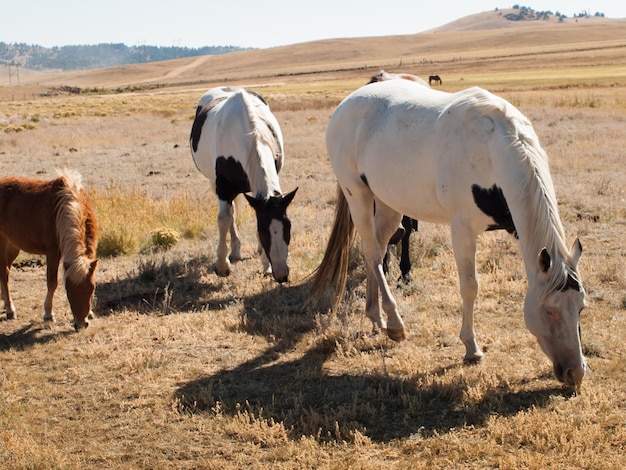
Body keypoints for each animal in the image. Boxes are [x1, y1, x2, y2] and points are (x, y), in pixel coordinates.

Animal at [0, 170, 98, 330]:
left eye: (91, 289)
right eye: (68, 292)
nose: (81, 324)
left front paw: (90, 313)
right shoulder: (52, 252)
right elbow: (52, 282)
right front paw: (48, 314)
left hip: (13, 246)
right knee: (4, 273)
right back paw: (10, 309)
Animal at [189, 86, 296, 282]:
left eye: (288, 228)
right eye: (263, 231)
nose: (282, 275)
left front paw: (266, 265)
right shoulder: (223, 188)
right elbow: (224, 219)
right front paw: (222, 266)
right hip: (215, 183)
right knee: (229, 214)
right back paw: (235, 252)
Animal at [310, 79, 588, 386]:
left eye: (580, 308)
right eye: (549, 310)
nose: (576, 372)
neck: (494, 148)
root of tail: (347, 103)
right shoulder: (463, 230)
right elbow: (470, 287)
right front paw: (471, 347)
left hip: (387, 203)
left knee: (379, 252)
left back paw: (376, 316)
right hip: (357, 195)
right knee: (371, 253)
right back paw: (395, 323)